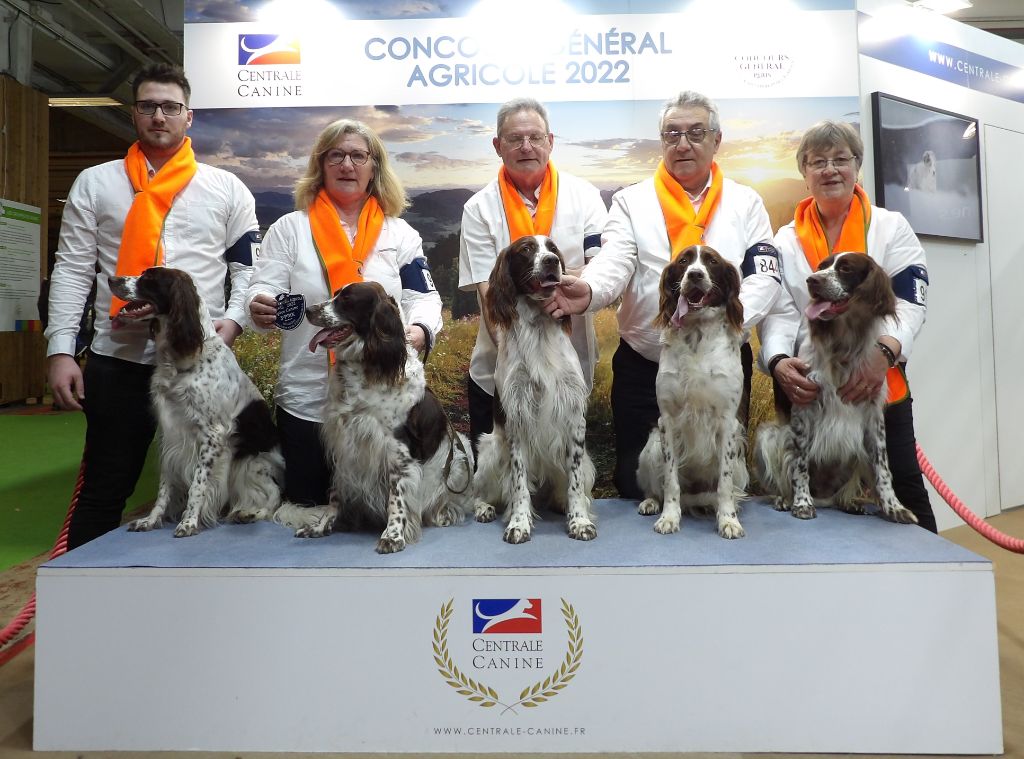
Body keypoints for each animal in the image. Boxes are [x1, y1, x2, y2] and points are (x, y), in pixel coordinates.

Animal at [107, 270, 282, 536]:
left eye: (149, 278)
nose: (110, 279)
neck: (183, 359)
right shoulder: (169, 434)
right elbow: (164, 487)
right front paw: (151, 520)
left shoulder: (212, 435)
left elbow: (198, 484)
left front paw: (188, 522)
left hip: (251, 464)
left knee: (272, 499)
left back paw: (248, 513)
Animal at [284, 278, 475, 549]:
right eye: (336, 295)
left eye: (347, 300)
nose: (309, 310)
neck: (367, 367)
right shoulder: (344, 444)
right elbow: (335, 496)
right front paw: (321, 527)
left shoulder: (397, 449)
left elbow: (397, 496)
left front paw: (393, 535)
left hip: (460, 456)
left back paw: (443, 514)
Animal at [473, 233, 598, 540]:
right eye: (527, 249)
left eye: (552, 249)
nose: (551, 261)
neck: (539, 327)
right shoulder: (517, 418)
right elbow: (518, 483)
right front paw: (519, 523)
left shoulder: (574, 417)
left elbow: (575, 482)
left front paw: (579, 521)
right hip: (490, 450)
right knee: (479, 493)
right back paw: (484, 508)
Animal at [634, 245, 749, 536]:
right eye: (684, 261)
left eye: (712, 261)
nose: (695, 275)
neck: (697, 333)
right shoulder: (668, 421)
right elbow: (670, 481)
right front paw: (669, 517)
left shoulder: (728, 422)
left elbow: (724, 484)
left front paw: (728, 520)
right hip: (651, 447)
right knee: (656, 487)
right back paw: (651, 503)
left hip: (741, 465)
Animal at [753, 251, 921, 524]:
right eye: (822, 267)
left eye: (845, 268)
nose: (812, 280)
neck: (844, 345)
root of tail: (825, 497)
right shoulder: (804, 407)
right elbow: (800, 465)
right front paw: (801, 503)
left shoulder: (873, 417)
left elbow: (883, 469)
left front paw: (894, 507)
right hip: (769, 436)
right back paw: (786, 499)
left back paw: (849, 502)